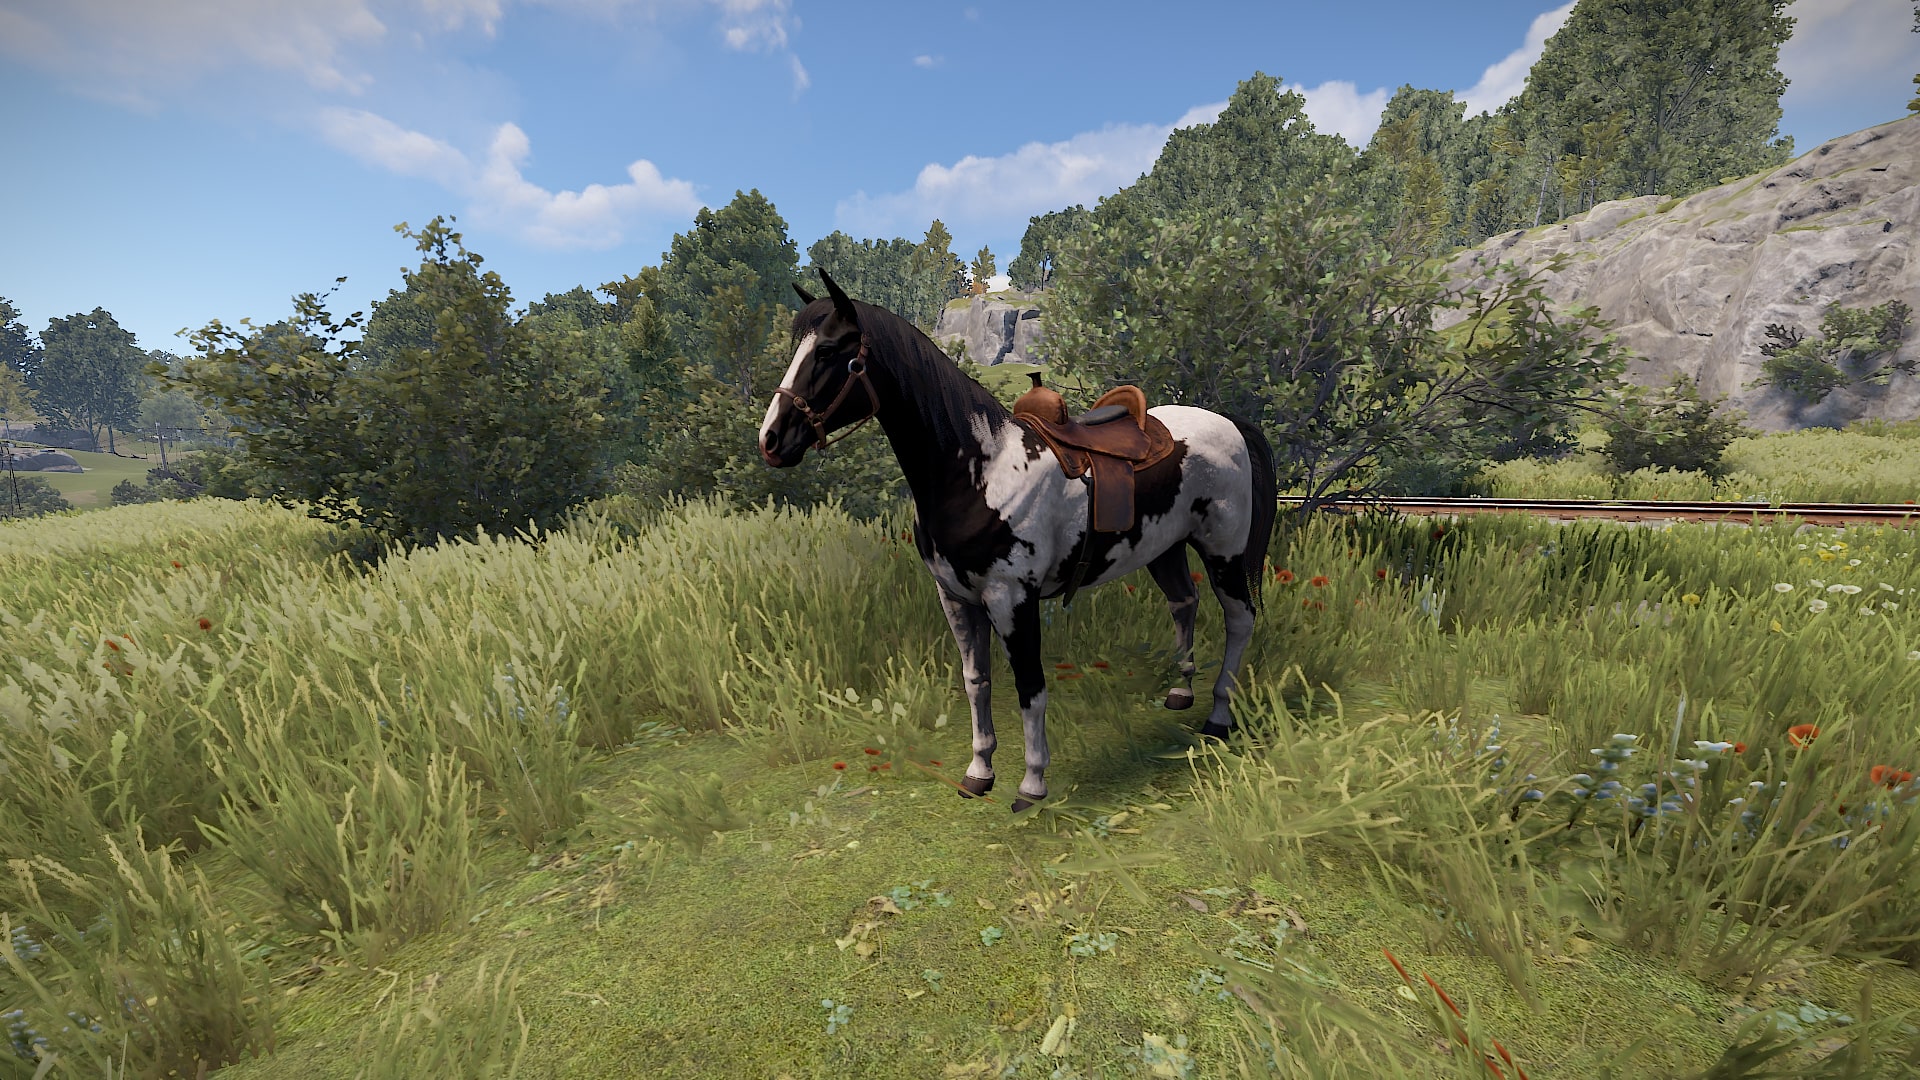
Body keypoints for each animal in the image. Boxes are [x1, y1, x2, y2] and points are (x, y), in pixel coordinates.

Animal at [759, 270, 1277, 812]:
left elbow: (1029, 685)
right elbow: (977, 682)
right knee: (1183, 602)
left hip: (1224, 552)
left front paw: (1032, 784)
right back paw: (1181, 692)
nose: (770, 440)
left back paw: (1218, 716)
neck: (978, 473)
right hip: (1164, 548)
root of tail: (1229, 423)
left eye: (829, 351)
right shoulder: (956, 599)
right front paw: (979, 772)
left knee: (1239, 619)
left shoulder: (1012, 600)